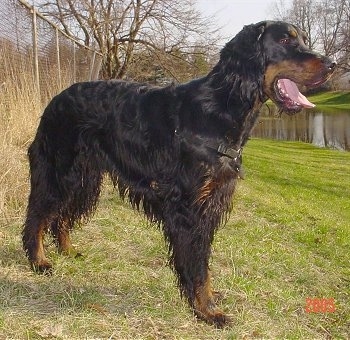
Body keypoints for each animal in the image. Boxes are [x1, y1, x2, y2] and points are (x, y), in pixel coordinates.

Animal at [23, 21, 334, 326]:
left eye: (303, 39)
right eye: (284, 40)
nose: (331, 64)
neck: (221, 108)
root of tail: (54, 101)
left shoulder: (210, 202)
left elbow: (202, 260)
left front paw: (208, 299)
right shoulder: (188, 208)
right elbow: (197, 264)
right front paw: (207, 310)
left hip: (83, 176)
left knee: (60, 216)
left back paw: (66, 249)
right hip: (58, 172)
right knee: (37, 216)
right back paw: (38, 261)